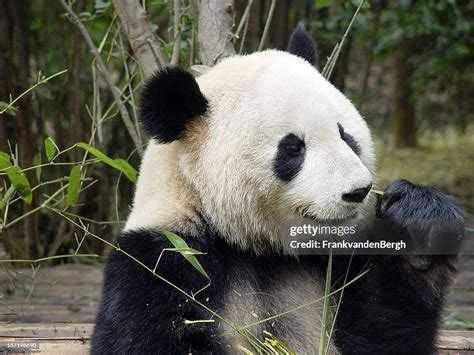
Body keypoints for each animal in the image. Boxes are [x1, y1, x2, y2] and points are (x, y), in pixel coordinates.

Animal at [91, 23, 462, 354]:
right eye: (293, 148)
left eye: (346, 135)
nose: (358, 191)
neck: (263, 250)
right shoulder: (164, 261)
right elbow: (144, 338)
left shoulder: (336, 268)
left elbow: (382, 333)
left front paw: (418, 228)